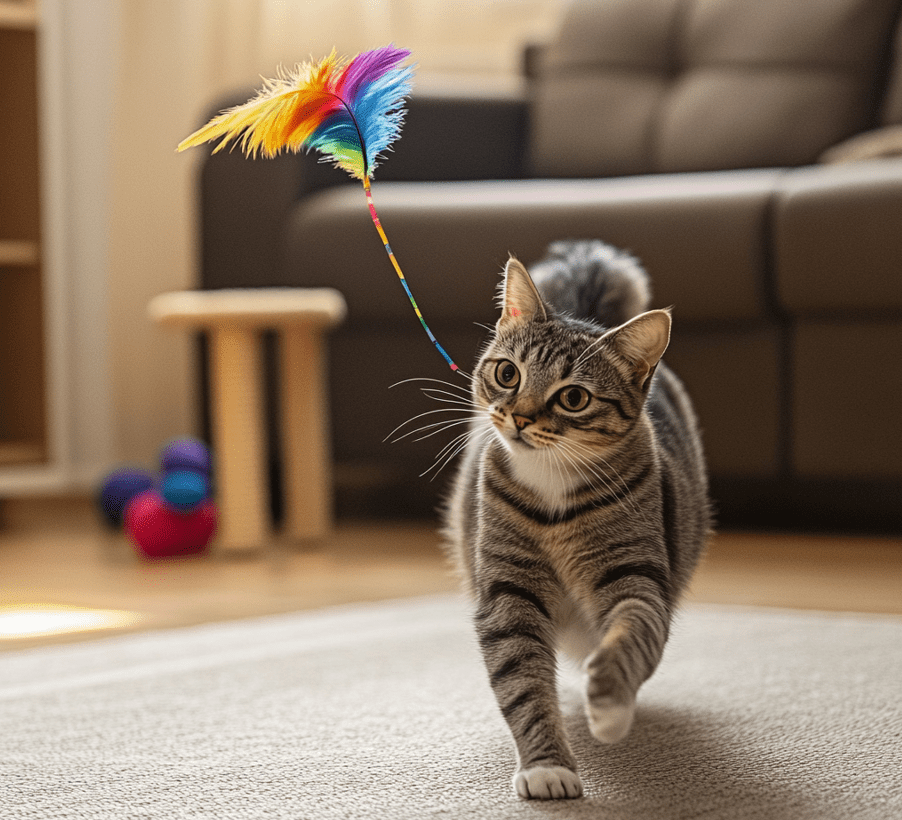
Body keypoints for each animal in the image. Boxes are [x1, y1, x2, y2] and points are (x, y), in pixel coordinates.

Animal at [442, 240, 708, 796]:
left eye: (574, 397)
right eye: (508, 373)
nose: (520, 417)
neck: (552, 493)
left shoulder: (636, 576)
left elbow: (632, 636)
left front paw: (608, 703)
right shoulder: (507, 591)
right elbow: (522, 682)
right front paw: (547, 766)